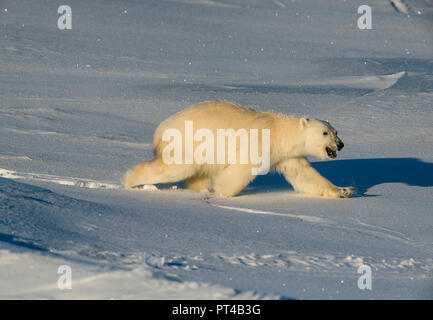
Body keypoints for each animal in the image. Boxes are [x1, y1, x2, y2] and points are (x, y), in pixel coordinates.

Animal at [121, 101, 354, 199]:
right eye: (325, 133)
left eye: (336, 131)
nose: (340, 144)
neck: (280, 132)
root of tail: (160, 129)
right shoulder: (259, 144)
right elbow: (241, 169)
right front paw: (223, 192)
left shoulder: (289, 156)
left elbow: (306, 176)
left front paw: (344, 190)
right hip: (187, 144)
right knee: (176, 167)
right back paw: (130, 182)